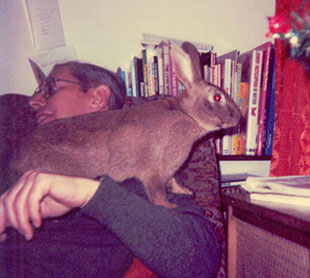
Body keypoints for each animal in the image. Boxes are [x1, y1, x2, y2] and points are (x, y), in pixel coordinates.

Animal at [10, 41, 242, 208]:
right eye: (217, 97)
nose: (239, 118)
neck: (187, 115)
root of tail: (19, 159)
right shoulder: (155, 171)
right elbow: (157, 192)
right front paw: (170, 206)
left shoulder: (170, 170)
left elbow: (173, 180)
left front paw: (184, 191)